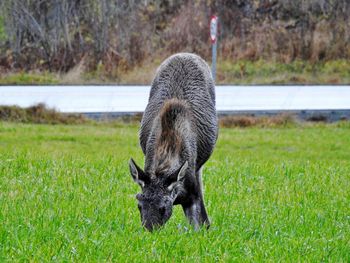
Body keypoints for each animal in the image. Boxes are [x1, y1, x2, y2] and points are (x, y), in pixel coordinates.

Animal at [129, 53, 216, 231]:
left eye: (163, 208)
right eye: (139, 206)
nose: (149, 230)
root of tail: (186, 54)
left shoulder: (192, 197)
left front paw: (205, 226)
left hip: (199, 167)